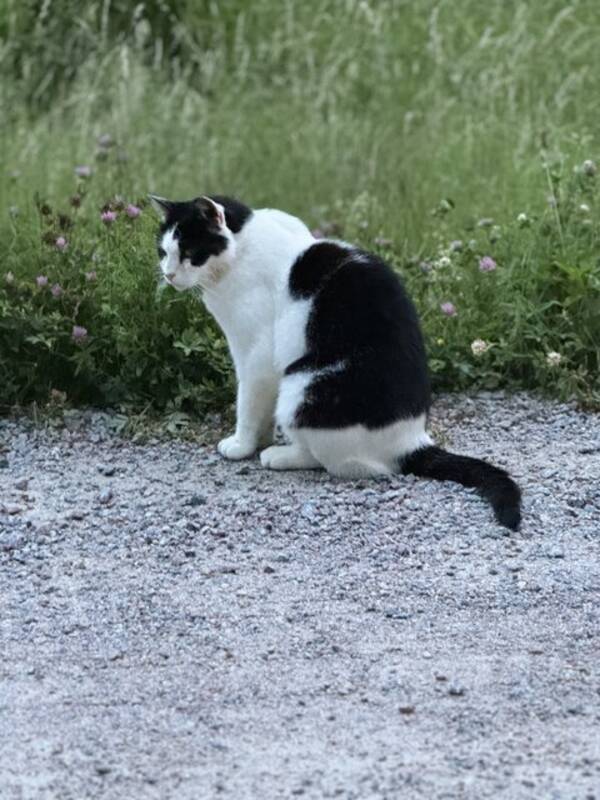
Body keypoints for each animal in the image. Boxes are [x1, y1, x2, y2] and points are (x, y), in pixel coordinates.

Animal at [149, 194, 520, 532]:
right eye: (164, 252)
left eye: (191, 254)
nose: (168, 275)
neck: (243, 247)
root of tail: (412, 441)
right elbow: (260, 410)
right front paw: (261, 438)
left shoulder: (256, 357)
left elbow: (248, 404)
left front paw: (242, 444)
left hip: (300, 386)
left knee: (340, 463)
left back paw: (282, 456)